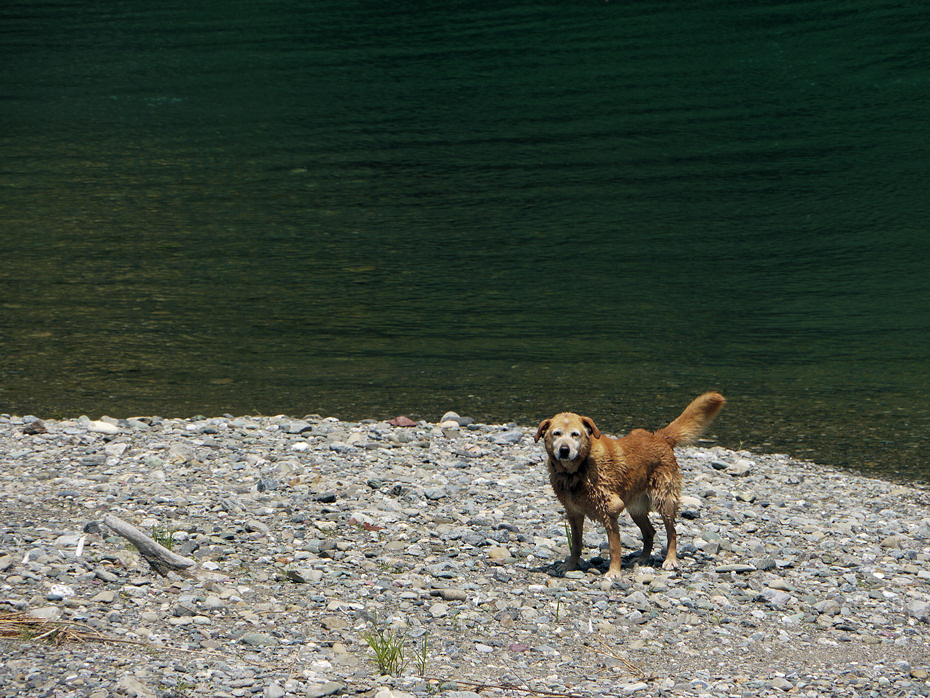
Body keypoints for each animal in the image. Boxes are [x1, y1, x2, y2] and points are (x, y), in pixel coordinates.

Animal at [532, 392, 720, 576]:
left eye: (575, 434)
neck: (577, 470)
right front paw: (570, 564)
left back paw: (670, 560)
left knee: (671, 532)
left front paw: (614, 571)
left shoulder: (610, 509)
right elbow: (576, 543)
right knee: (649, 532)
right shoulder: (574, 512)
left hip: (664, 499)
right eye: (556, 433)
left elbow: (614, 547)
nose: (564, 450)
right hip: (636, 508)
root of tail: (658, 437)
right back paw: (643, 558)